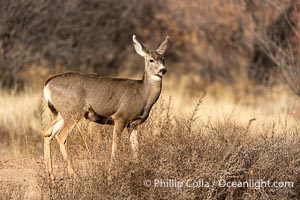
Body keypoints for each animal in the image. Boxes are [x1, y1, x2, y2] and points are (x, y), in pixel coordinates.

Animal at [41, 34, 169, 180]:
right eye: (151, 60)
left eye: (163, 59)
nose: (163, 70)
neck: (142, 94)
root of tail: (47, 84)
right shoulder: (120, 117)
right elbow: (115, 146)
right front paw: (110, 175)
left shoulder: (133, 123)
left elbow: (136, 148)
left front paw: (139, 169)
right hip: (73, 111)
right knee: (61, 136)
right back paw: (75, 175)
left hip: (60, 113)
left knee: (47, 133)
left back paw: (51, 177)